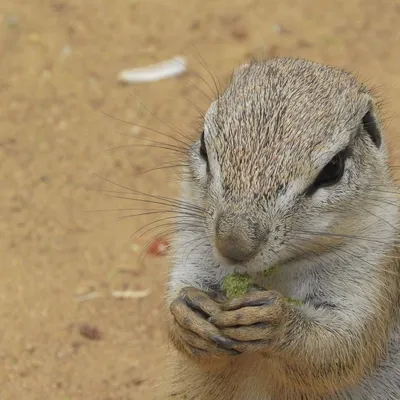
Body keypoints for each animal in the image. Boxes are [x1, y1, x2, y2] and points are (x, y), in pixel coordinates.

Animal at [159, 57, 400, 400]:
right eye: (204, 144)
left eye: (333, 169)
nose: (232, 245)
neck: (275, 270)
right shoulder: (193, 242)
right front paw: (186, 313)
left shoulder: (373, 268)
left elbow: (342, 346)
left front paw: (274, 320)